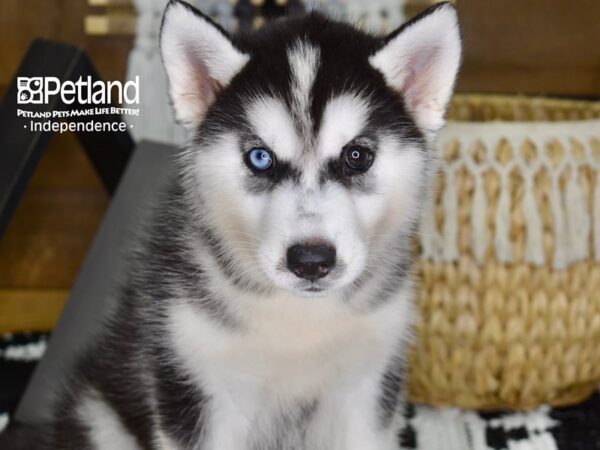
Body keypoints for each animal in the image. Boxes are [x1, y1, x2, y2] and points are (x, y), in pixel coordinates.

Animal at [45, 1, 460, 448]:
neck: (298, 321)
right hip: (100, 412)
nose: (311, 260)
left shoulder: (368, 386)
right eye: (260, 158)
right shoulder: (195, 384)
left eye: (357, 156)